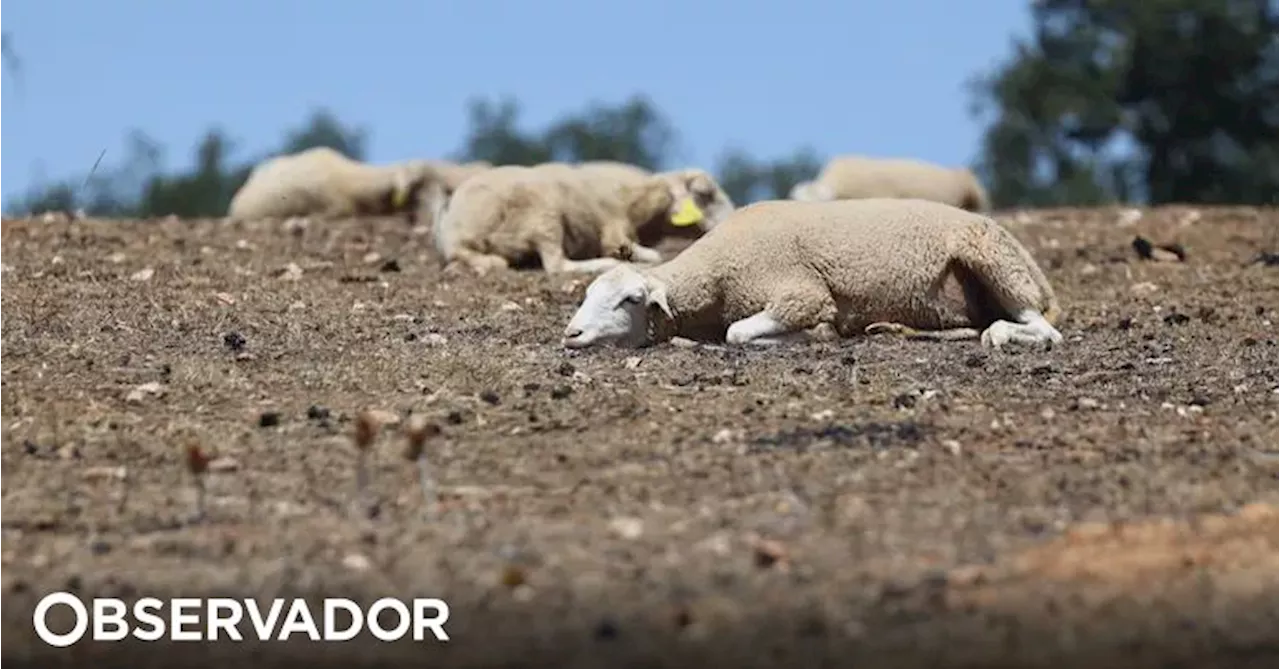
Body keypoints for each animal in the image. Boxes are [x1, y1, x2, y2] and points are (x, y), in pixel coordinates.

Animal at [430, 162, 732, 275]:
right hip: (544, 215)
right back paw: (609, 263)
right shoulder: (614, 231)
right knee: (556, 265)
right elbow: (649, 254)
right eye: (705, 195)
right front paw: (628, 257)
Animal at [560, 198, 1059, 350]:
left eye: (629, 300)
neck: (716, 274)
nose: (572, 334)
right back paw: (894, 328)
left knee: (1043, 329)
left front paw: (816, 334)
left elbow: (739, 333)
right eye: (587, 294)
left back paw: (1002, 334)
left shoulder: (802, 293)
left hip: (994, 262)